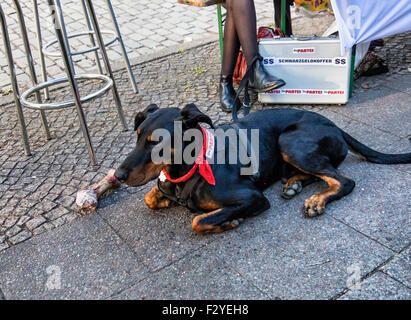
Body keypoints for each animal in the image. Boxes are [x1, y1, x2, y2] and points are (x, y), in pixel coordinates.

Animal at [115, 104, 411, 234]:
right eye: (137, 136)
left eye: (158, 142)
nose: (117, 176)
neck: (189, 168)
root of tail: (334, 125)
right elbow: (150, 196)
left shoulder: (252, 197)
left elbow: (197, 221)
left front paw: (228, 221)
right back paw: (294, 185)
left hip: (290, 141)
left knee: (343, 180)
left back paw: (316, 200)